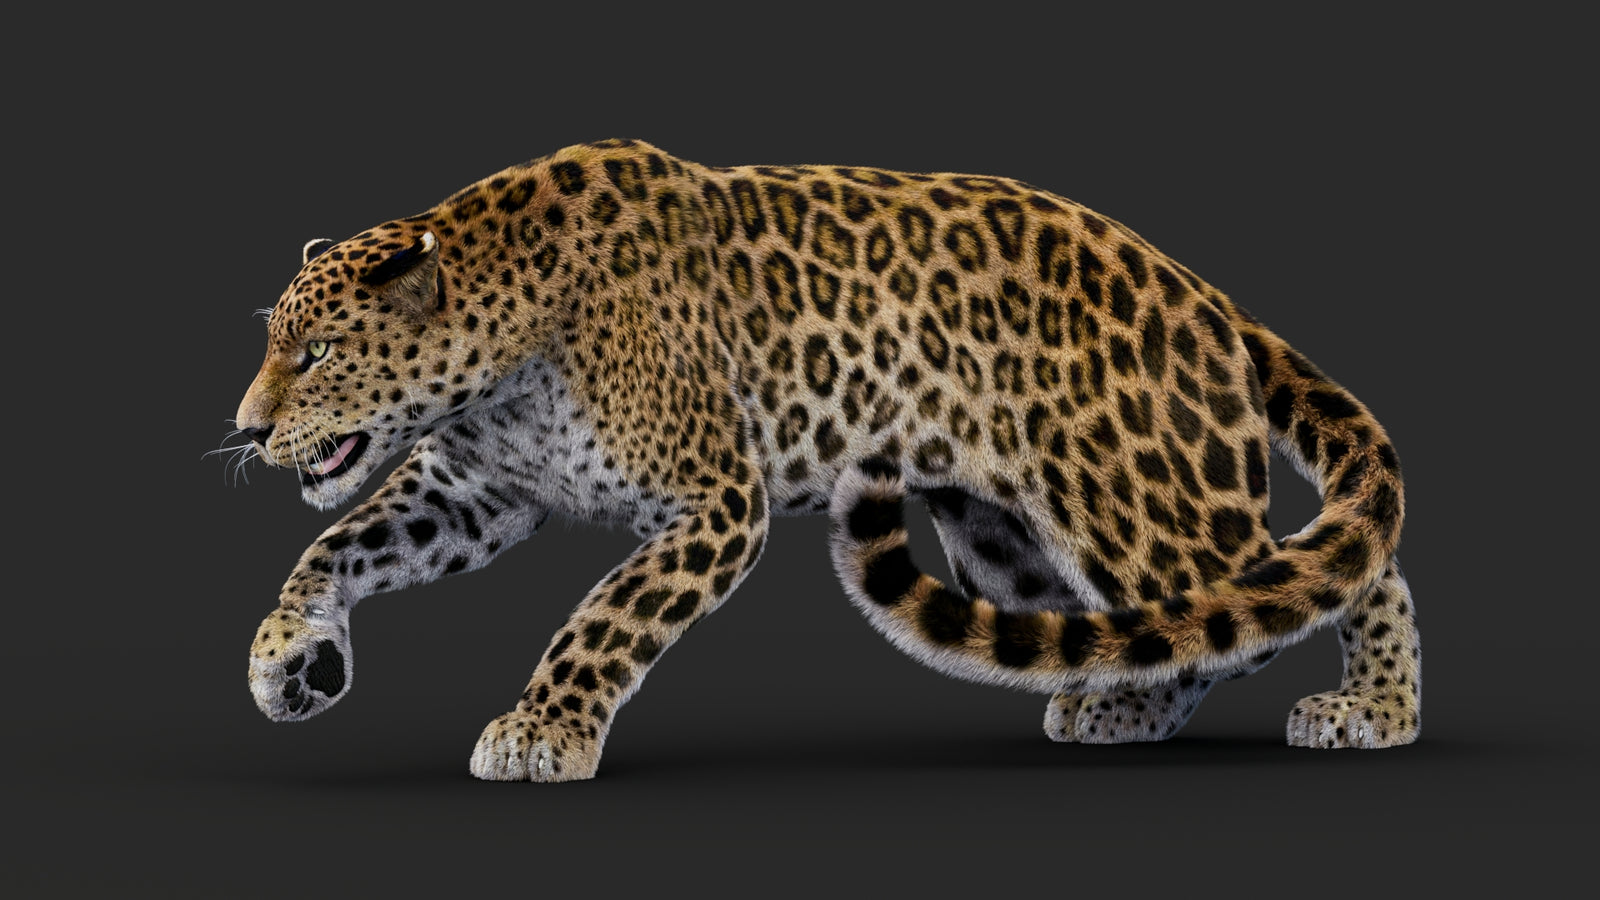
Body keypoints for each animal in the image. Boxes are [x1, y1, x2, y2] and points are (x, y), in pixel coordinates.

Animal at [232, 138, 1419, 781]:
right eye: (273, 343)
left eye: (318, 351)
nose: (245, 428)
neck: (506, 342)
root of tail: (1196, 285)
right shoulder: (475, 492)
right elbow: (335, 548)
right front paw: (289, 660)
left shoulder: (717, 499)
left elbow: (604, 616)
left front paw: (541, 729)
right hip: (1000, 536)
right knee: (1148, 629)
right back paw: (1118, 708)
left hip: (1143, 496)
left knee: (1320, 584)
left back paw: (1371, 712)